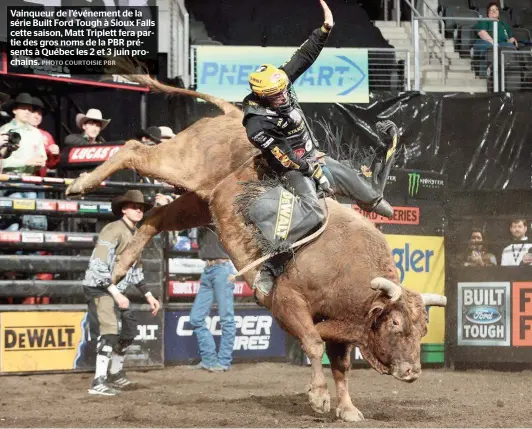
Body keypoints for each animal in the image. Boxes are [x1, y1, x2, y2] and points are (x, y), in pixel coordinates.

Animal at [67, 76, 448, 422]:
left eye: (423, 329)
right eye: (396, 323)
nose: (412, 372)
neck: (349, 272)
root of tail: (232, 113)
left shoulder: (343, 327)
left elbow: (341, 365)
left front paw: (348, 408)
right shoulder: (288, 303)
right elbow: (313, 343)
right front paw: (319, 398)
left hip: (200, 202)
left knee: (154, 218)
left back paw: (119, 266)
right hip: (182, 162)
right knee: (133, 149)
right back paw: (79, 184)